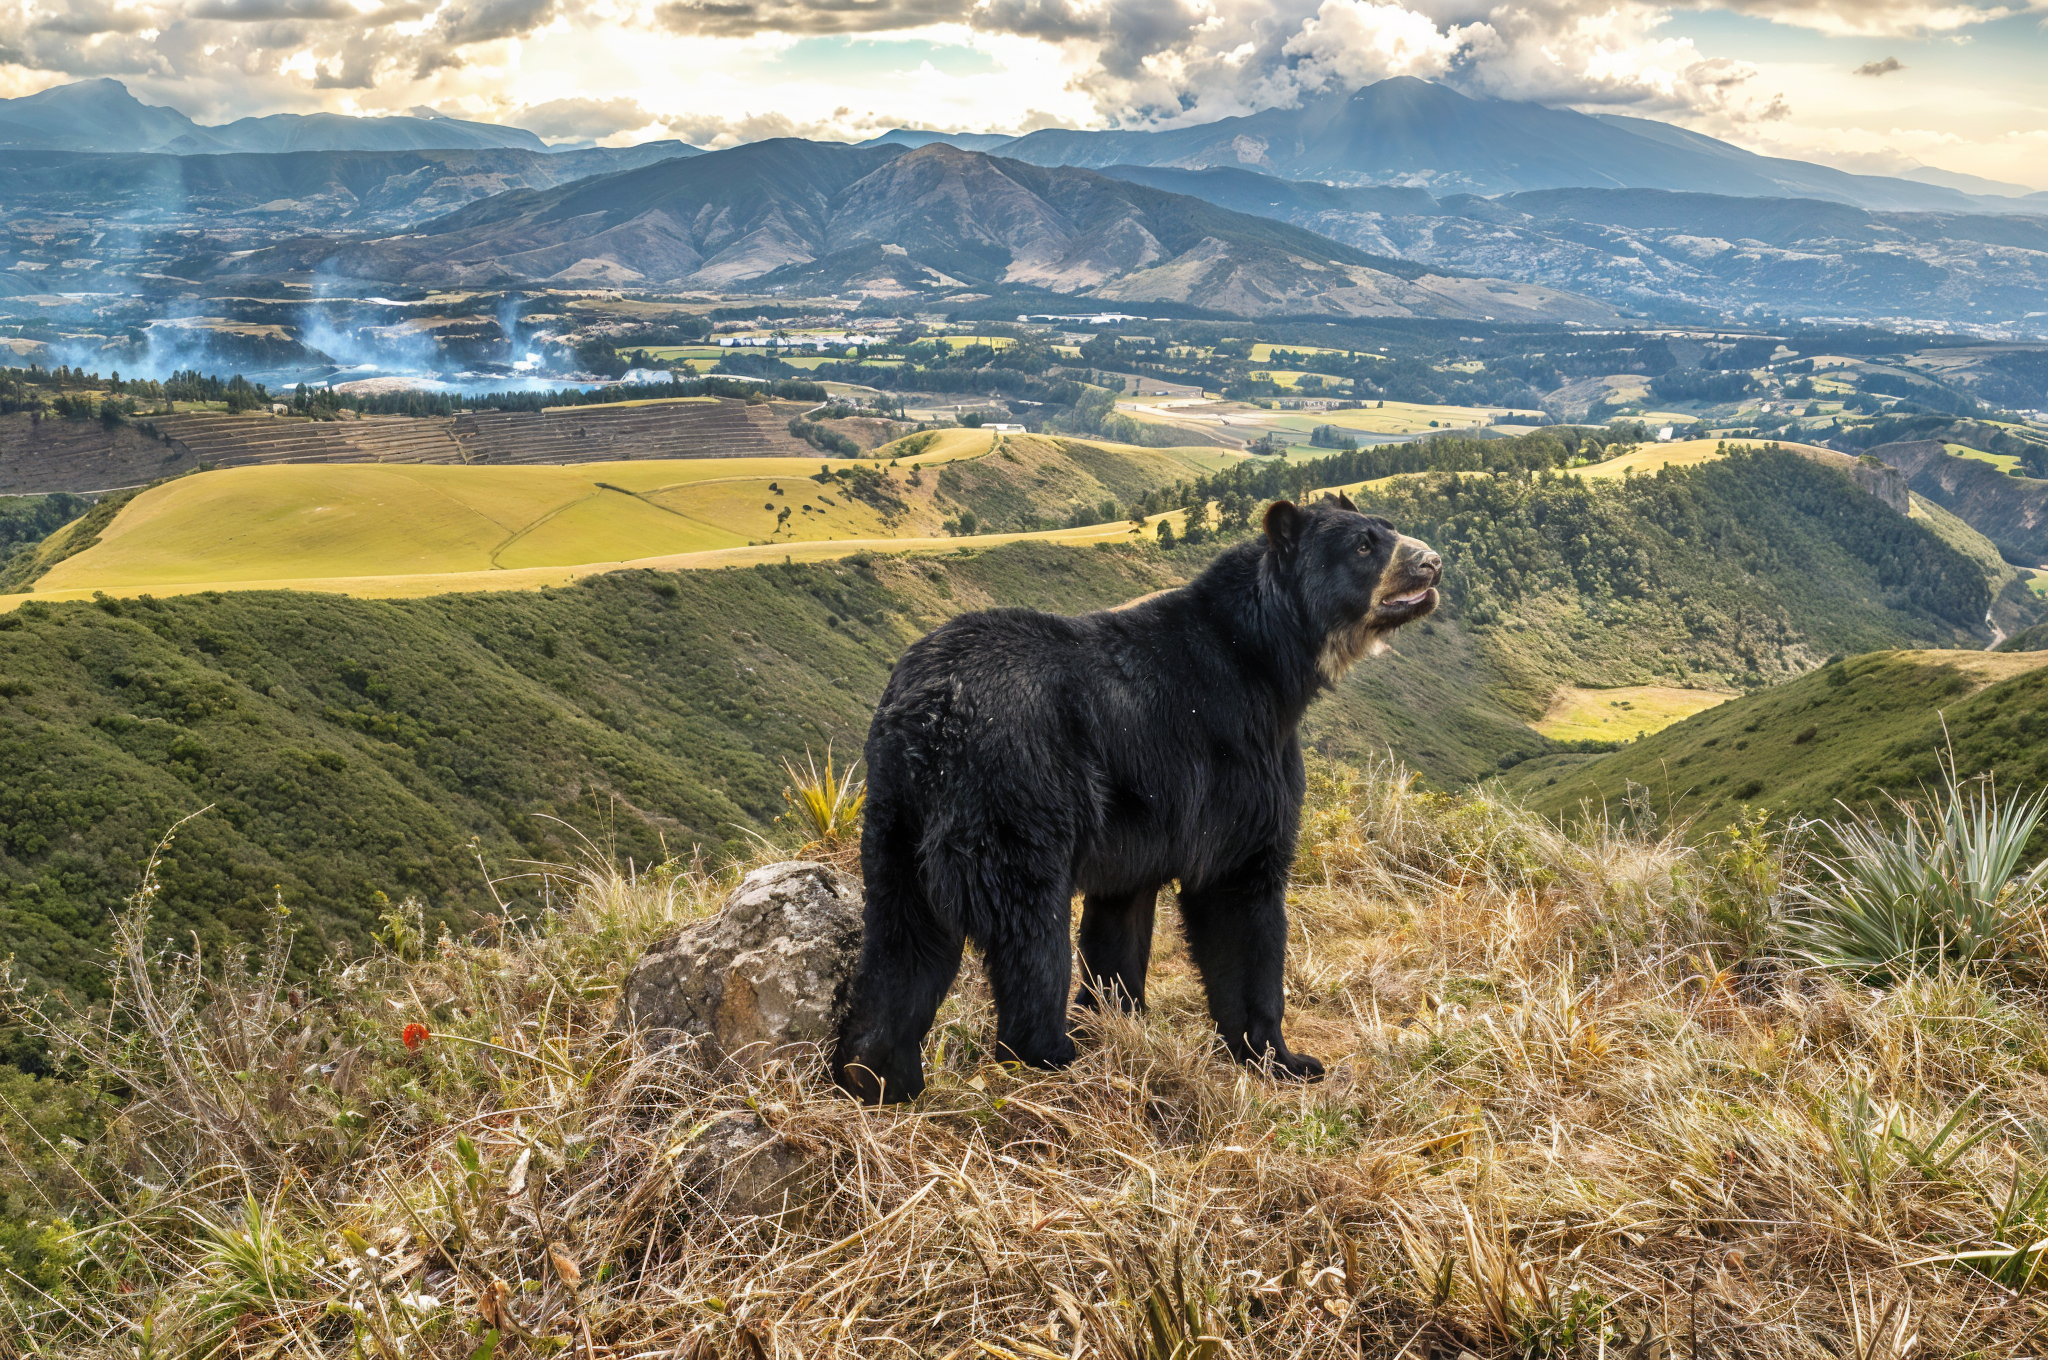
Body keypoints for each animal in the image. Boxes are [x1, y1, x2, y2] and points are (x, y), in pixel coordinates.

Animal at [831, 499, 1441, 1106]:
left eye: (1386, 529)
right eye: (1364, 546)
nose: (1431, 563)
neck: (1268, 658)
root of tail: (931, 711)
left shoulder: (1148, 821)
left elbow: (1120, 917)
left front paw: (1117, 1015)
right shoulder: (1231, 757)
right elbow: (1240, 889)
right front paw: (1283, 1057)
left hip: (896, 813)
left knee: (905, 938)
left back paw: (877, 1076)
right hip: (1016, 791)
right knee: (1029, 928)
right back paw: (1051, 1057)